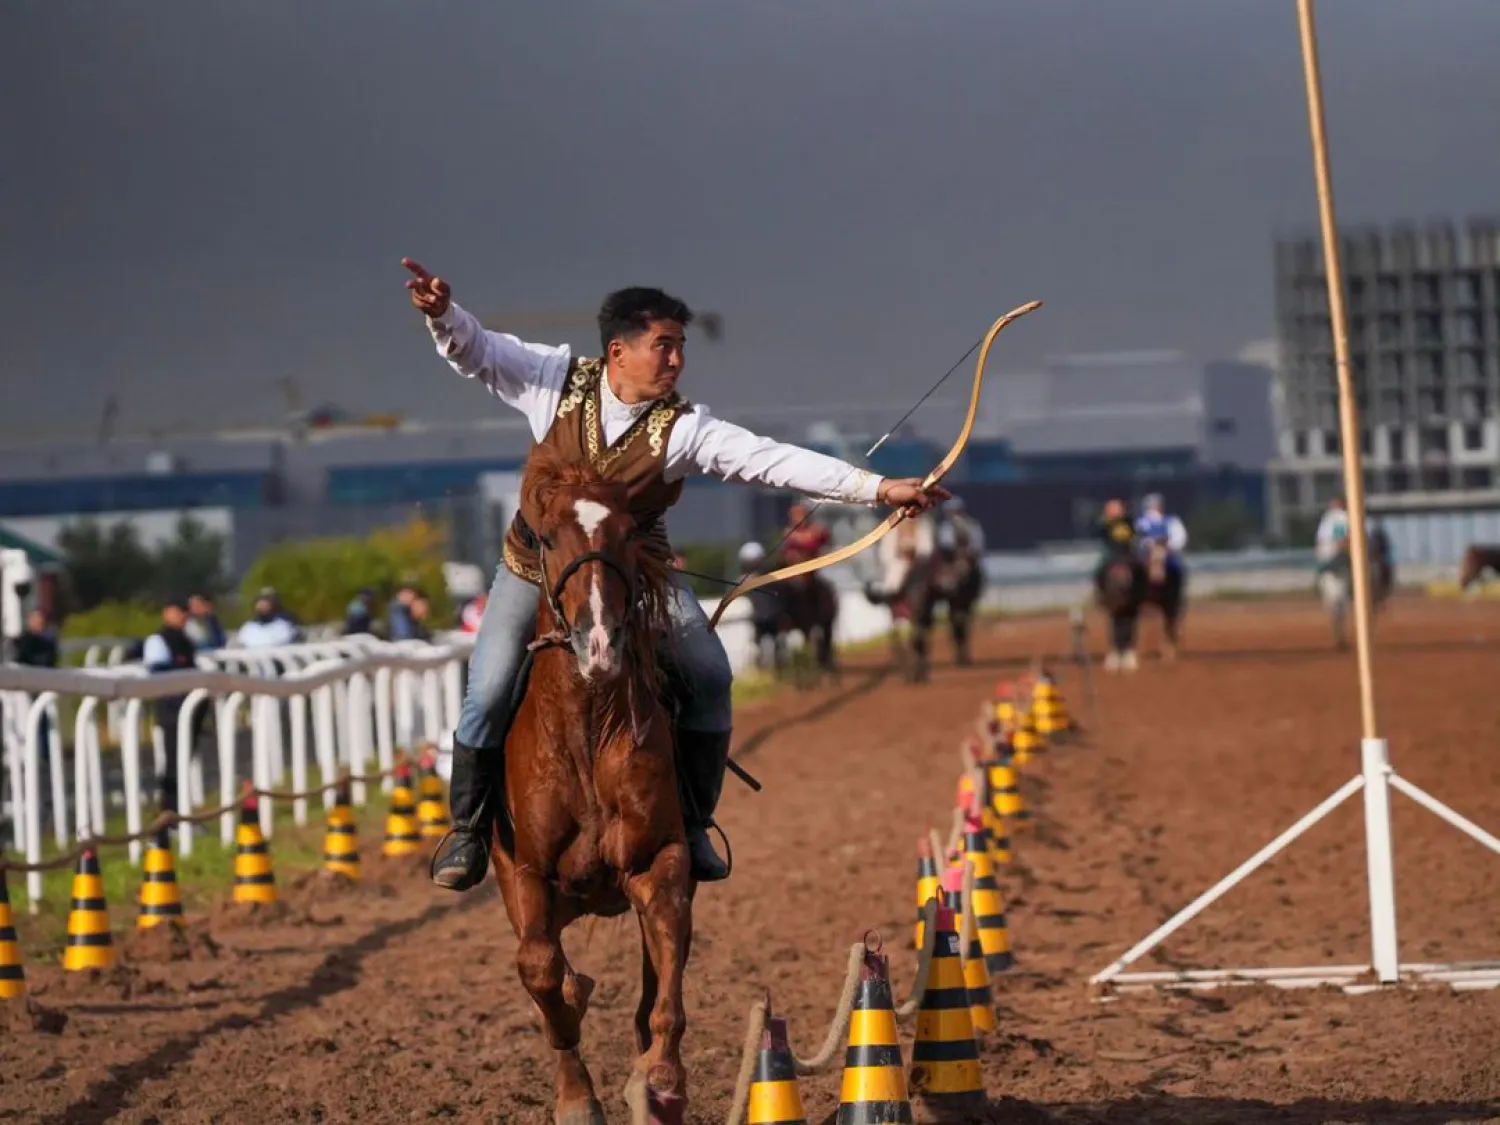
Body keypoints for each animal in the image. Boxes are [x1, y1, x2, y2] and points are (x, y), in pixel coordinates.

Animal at [495, 450, 699, 1125]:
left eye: (630, 532)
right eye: (547, 535)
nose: (601, 644)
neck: (584, 738)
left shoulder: (661, 859)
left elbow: (666, 975)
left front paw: (662, 1077)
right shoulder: (525, 873)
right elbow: (538, 971)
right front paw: (578, 1097)